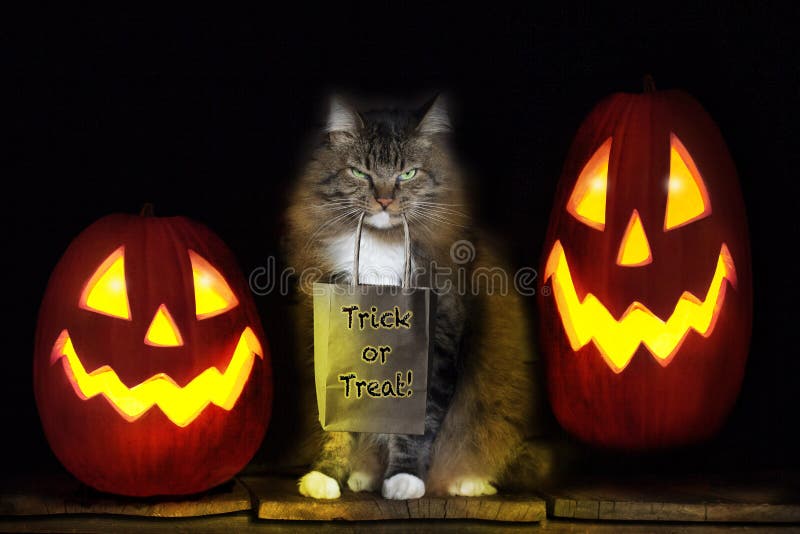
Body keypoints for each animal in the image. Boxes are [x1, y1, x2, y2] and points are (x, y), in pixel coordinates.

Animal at [284, 96, 548, 502]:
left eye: (408, 174)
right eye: (360, 172)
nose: (384, 200)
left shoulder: (437, 340)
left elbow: (420, 422)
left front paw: (404, 479)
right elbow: (337, 425)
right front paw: (325, 476)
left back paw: (467, 482)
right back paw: (362, 476)